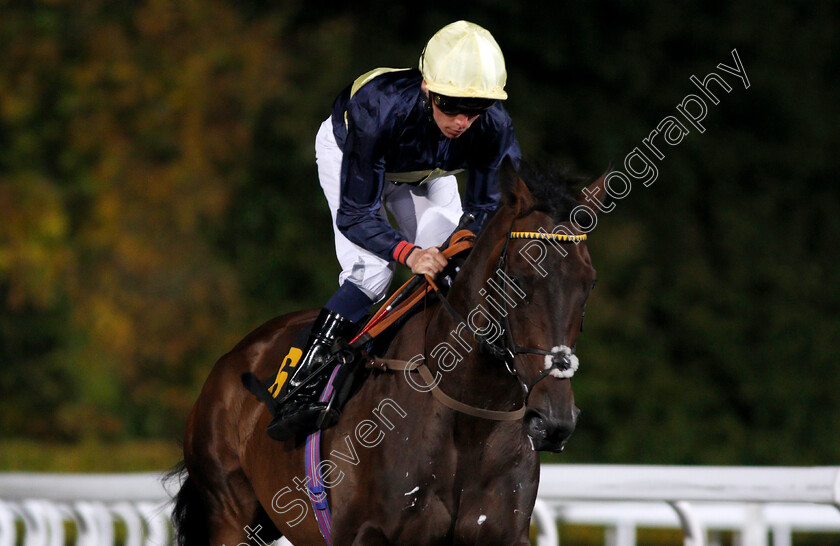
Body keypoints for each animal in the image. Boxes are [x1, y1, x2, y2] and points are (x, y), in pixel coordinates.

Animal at [171, 159, 604, 540]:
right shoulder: (366, 533)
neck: (469, 419)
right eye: (518, 276)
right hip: (230, 513)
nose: (554, 420)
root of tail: (233, 358)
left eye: (589, 283)